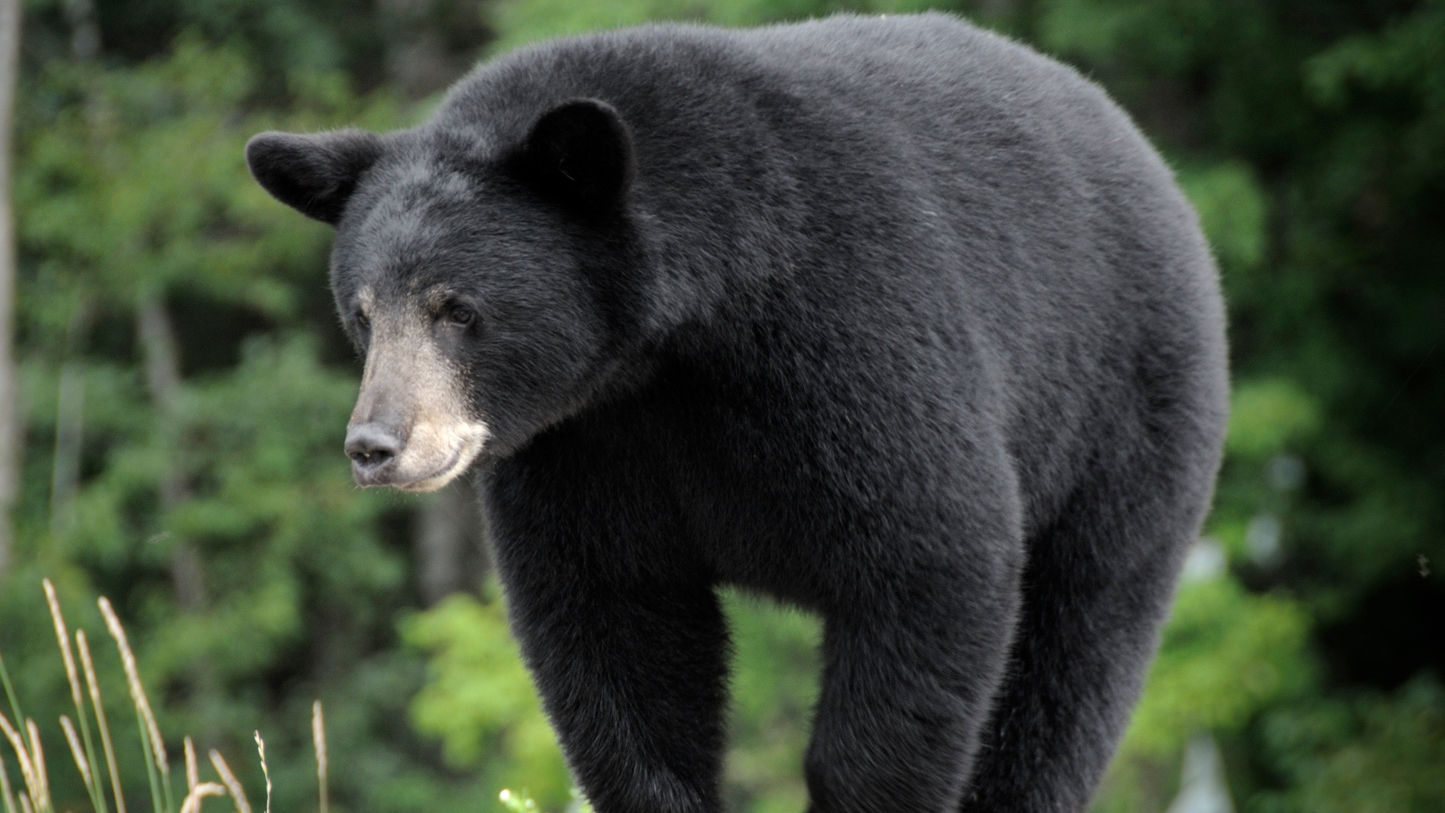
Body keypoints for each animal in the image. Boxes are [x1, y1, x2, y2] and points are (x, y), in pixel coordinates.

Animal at [244, 12, 1229, 813]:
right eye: (363, 313)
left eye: (457, 308)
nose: (375, 444)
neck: (673, 348)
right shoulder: (586, 447)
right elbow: (614, 634)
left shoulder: (855, 334)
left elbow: (932, 556)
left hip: (1125, 417)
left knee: (1072, 657)